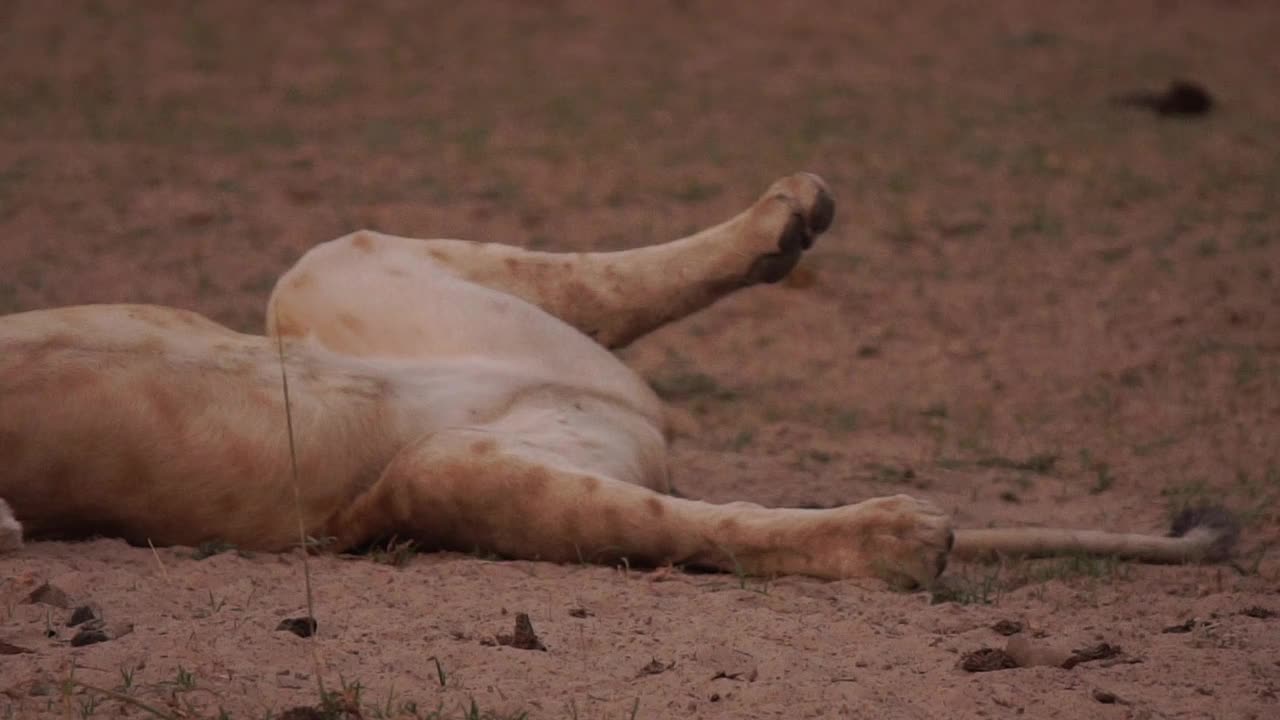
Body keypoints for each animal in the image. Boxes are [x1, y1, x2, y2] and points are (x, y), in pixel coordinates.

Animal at [2, 172, 1239, 584]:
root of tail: (623, 415)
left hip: (335, 277)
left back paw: (788, 217)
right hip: (451, 462)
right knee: (694, 517)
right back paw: (894, 529)